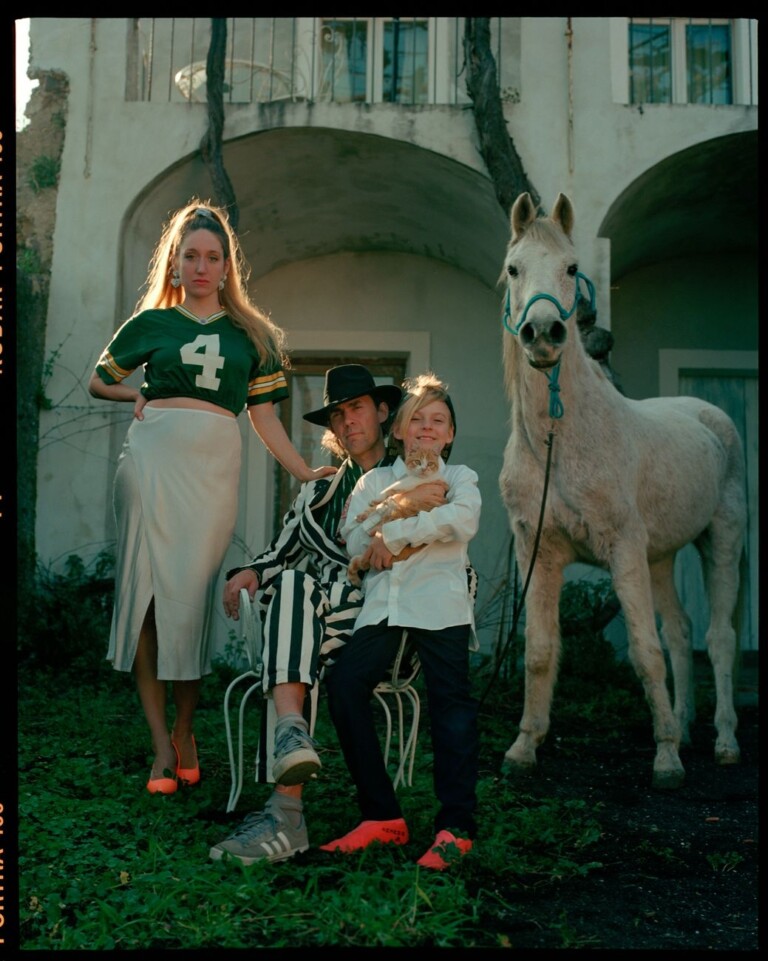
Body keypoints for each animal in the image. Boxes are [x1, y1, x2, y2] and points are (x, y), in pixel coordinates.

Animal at [498, 193, 744, 788]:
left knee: (718, 639)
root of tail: (709, 416)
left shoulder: (624, 550)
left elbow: (643, 652)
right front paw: (523, 747)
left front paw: (667, 761)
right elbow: (540, 650)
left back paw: (723, 742)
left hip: (721, 540)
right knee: (680, 632)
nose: (543, 334)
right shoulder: (537, 552)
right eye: (514, 269)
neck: (561, 442)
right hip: (661, 556)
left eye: (571, 269)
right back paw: (682, 723)